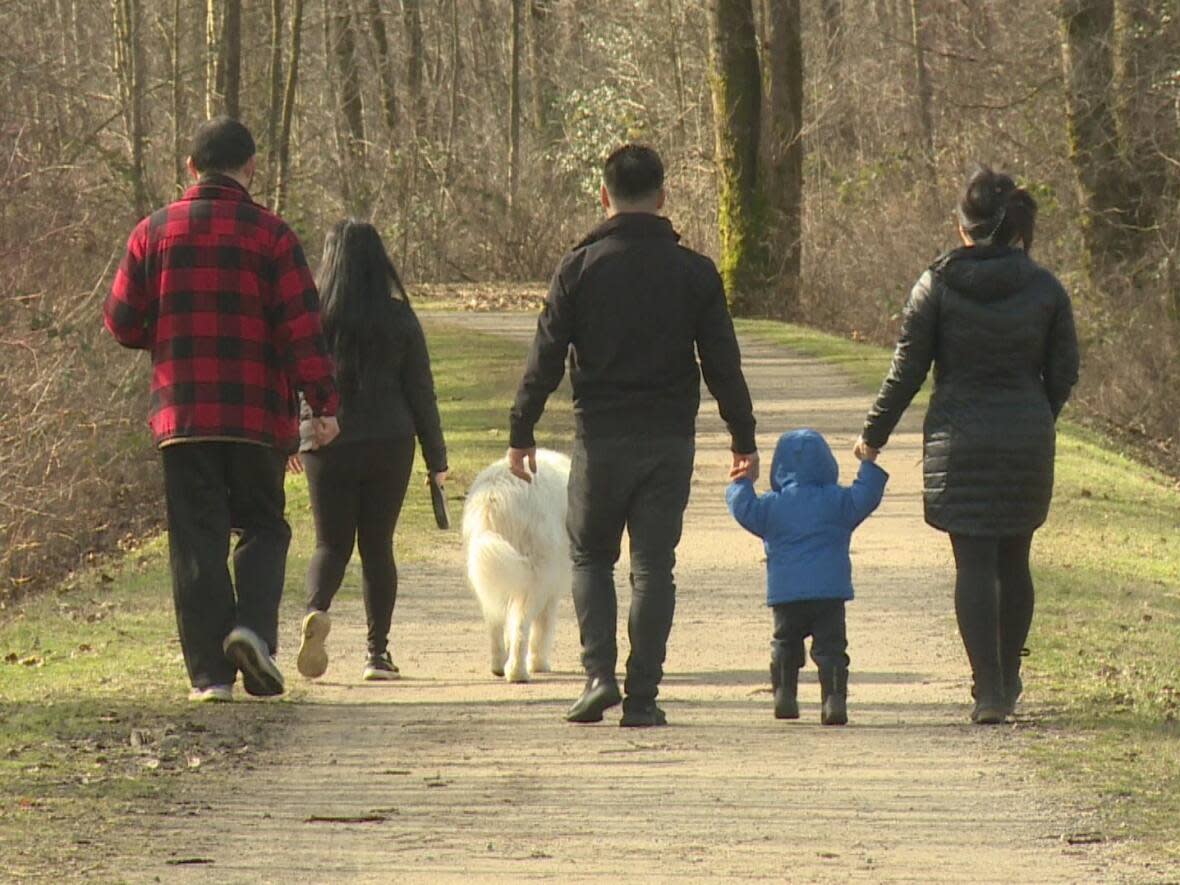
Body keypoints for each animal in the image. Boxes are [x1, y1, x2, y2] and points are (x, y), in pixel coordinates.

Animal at [460, 450, 571, 684]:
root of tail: (494, 495)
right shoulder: (551, 588)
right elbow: (542, 628)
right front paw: (539, 664)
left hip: (489, 570)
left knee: (494, 622)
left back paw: (498, 665)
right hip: (535, 576)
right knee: (521, 625)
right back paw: (518, 672)